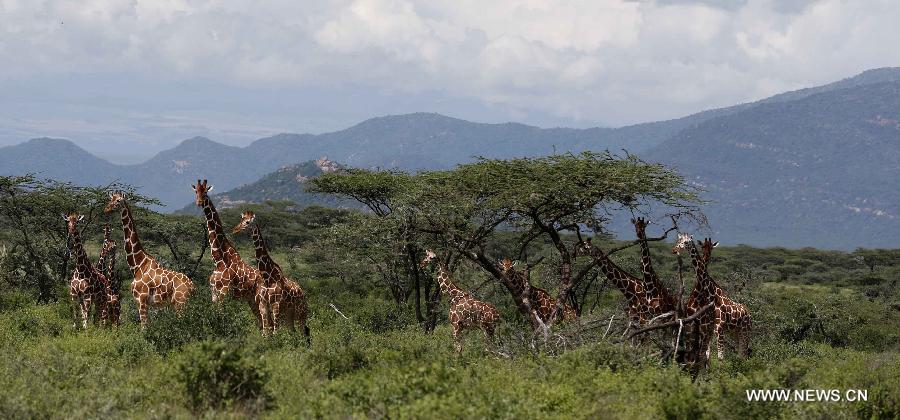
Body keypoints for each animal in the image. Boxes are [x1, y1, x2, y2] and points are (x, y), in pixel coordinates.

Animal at [106, 192, 196, 326]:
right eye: (110, 199)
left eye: (118, 201)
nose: (107, 209)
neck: (138, 265)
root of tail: (193, 287)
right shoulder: (145, 302)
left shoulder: (141, 299)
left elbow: (144, 327)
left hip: (180, 303)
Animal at [189, 178, 262, 328]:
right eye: (196, 191)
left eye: (205, 192)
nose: (199, 202)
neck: (219, 260)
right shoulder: (214, 293)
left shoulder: (224, 292)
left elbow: (222, 316)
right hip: (251, 299)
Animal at [232, 212, 310, 340]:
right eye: (241, 220)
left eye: (247, 222)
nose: (235, 229)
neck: (267, 276)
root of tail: (302, 292)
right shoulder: (263, 305)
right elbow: (266, 332)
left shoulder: (275, 305)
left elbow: (275, 332)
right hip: (289, 312)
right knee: (294, 331)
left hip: (301, 311)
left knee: (304, 331)